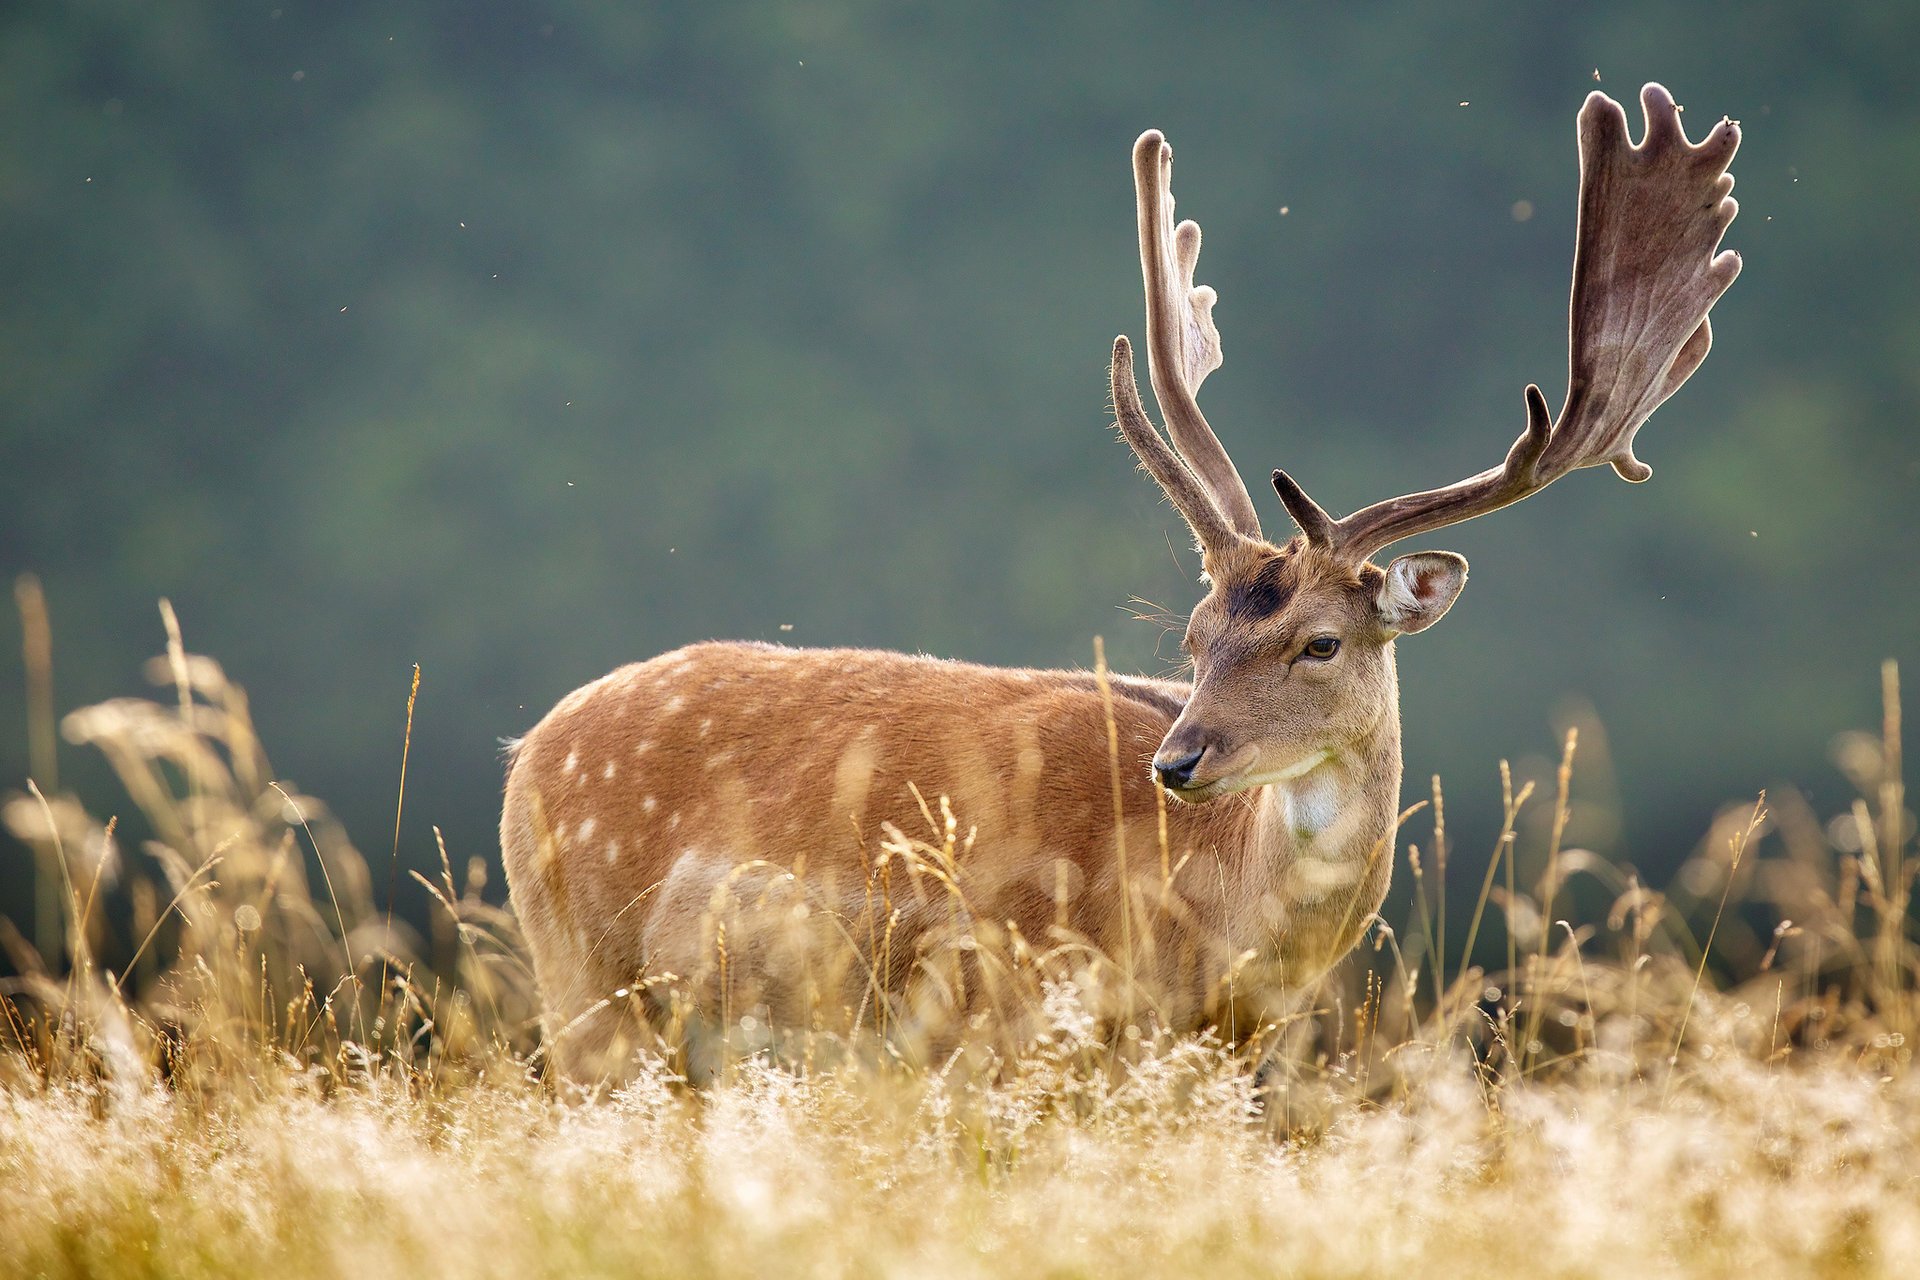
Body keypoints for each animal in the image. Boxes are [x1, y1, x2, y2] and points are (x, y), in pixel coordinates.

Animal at [501, 83, 1742, 1081]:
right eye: (1192, 637)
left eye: (1320, 640)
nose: (1179, 759)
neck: (1216, 941)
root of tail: (527, 751)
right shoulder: (1007, 1018)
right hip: (585, 983)